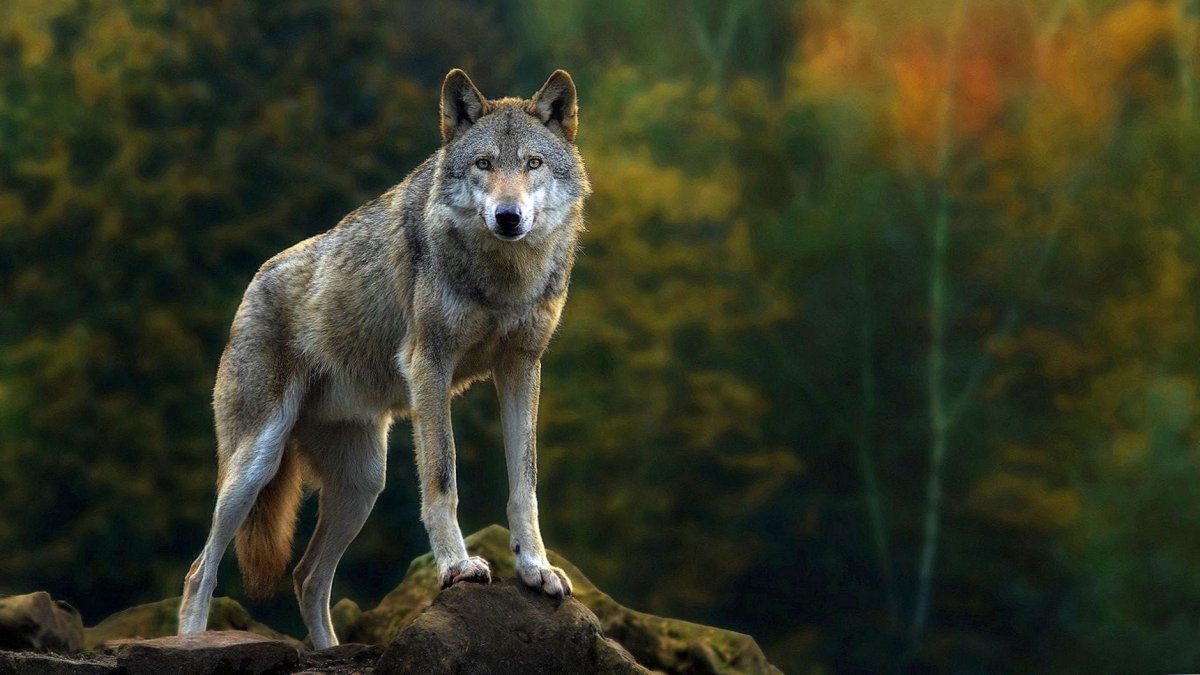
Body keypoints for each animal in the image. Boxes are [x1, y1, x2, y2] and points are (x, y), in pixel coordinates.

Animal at [176, 68, 590, 649]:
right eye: (484, 164)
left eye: (533, 163)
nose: (508, 217)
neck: (503, 279)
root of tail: (254, 283)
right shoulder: (429, 366)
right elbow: (443, 479)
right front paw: (458, 567)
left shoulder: (522, 368)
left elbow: (523, 485)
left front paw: (535, 569)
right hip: (255, 464)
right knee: (201, 569)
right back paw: (189, 641)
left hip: (364, 483)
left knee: (306, 577)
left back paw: (329, 649)